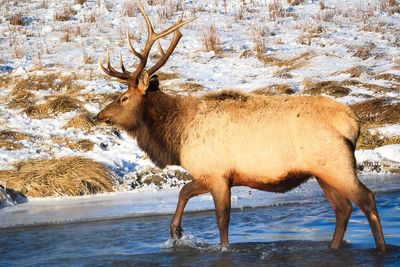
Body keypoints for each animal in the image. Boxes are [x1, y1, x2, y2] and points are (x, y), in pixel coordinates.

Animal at [95, 0, 386, 253]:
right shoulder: (211, 174)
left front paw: (222, 248)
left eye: (123, 97)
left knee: (367, 199)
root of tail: (353, 123)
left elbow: (221, 219)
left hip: (336, 164)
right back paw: (334, 247)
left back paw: (381, 248)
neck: (177, 137)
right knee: (343, 209)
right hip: (322, 172)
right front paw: (175, 232)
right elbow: (183, 191)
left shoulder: (217, 174)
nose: (99, 115)